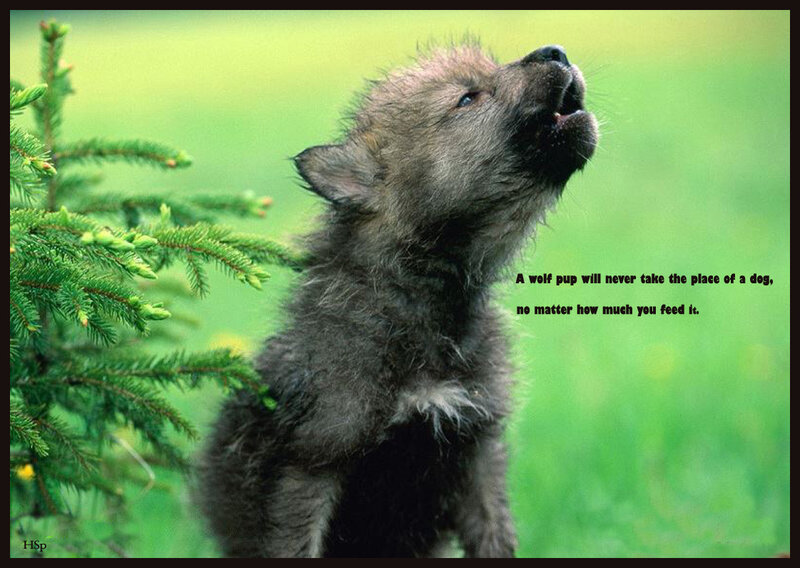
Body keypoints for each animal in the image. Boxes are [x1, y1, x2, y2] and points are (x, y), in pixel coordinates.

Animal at [199, 42, 598, 557]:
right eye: (466, 98)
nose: (556, 51)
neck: (425, 304)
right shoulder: (310, 464)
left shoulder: (477, 451)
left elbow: (496, 539)